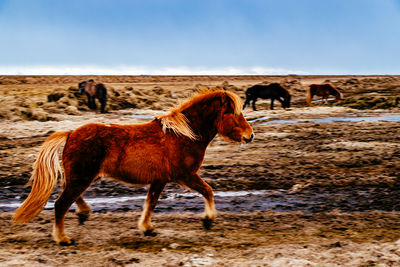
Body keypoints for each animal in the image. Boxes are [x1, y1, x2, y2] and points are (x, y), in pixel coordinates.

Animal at [14, 90, 256, 247]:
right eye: (235, 114)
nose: (250, 135)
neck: (183, 135)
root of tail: (71, 133)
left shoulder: (161, 179)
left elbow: (151, 203)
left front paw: (147, 228)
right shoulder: (185, 175)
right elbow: (208, 191)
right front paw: (208, 220)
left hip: (81, 177)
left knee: (72, 197)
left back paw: (83, 214)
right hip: (81, 178)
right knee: (61, 203)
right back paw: (62, 239)